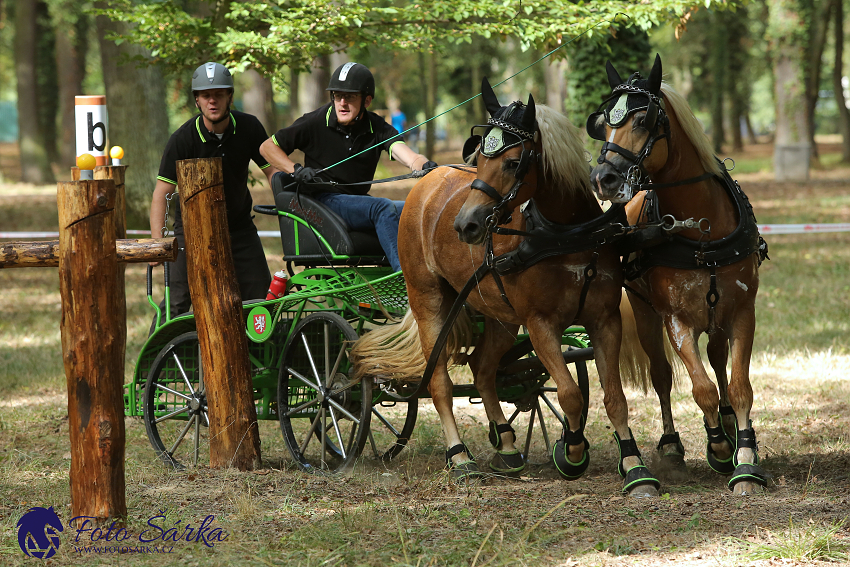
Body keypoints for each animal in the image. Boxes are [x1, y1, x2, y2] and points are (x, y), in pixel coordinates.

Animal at [354, 79, 660, 496]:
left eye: (514, 162)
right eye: (480, 158)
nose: (465, 225)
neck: (565, 237)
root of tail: (427, 181)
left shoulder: (604, 320)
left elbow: (613, 397)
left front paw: (633, 465)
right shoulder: (540, 324)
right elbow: (570, 393)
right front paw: (572, 451)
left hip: (500, 315)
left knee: (483, 370)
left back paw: (508, 445)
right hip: (428, 300)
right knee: (440, 383)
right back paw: (460, 457)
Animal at [588, 54, 764, 496]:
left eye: (643, 120)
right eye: (603, 122)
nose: (603, 179)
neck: (703, 230)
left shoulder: (743, 312)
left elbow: (738, 386)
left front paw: (745, 458)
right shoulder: (675, 319)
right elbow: (699, 388)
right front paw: (718, 446)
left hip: (717, 317)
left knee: (717, 360)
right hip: (645, 315)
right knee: (663, 376)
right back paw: (673, 446)